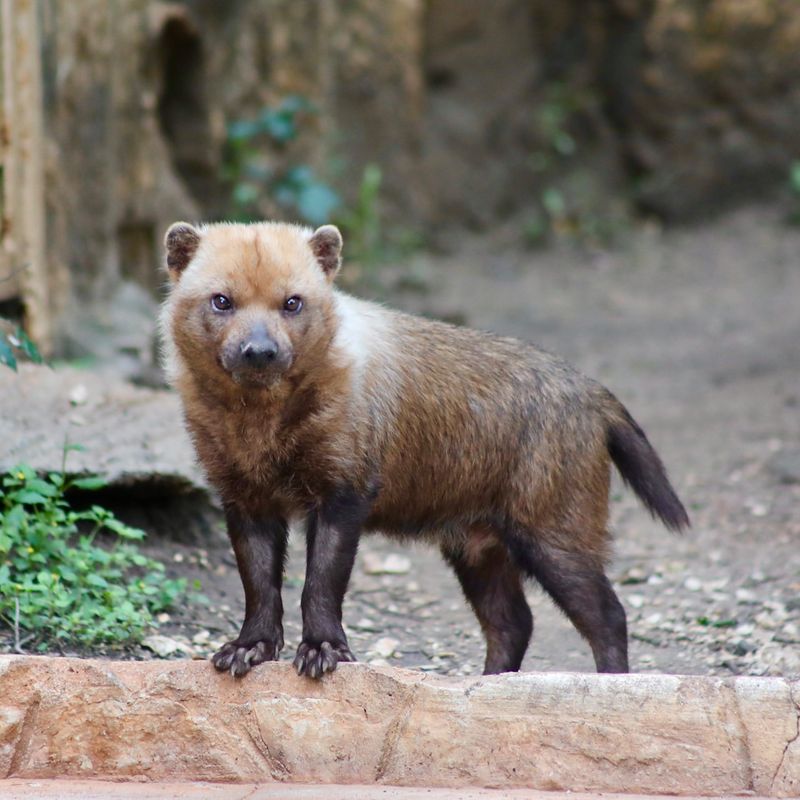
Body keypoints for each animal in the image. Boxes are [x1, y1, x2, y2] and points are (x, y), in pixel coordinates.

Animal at [161, 220, 688, 680]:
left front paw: (323, 652)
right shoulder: (243, 496)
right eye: (221, 300)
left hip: (555, 529)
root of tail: (594, 393)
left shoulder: (345, 489)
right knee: (513, 622)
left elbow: (322, 582)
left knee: (607, 615)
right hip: (479, 544)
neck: (262, 432)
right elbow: (258, 583)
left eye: (292, 302)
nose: (259, 352)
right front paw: (246, 650)